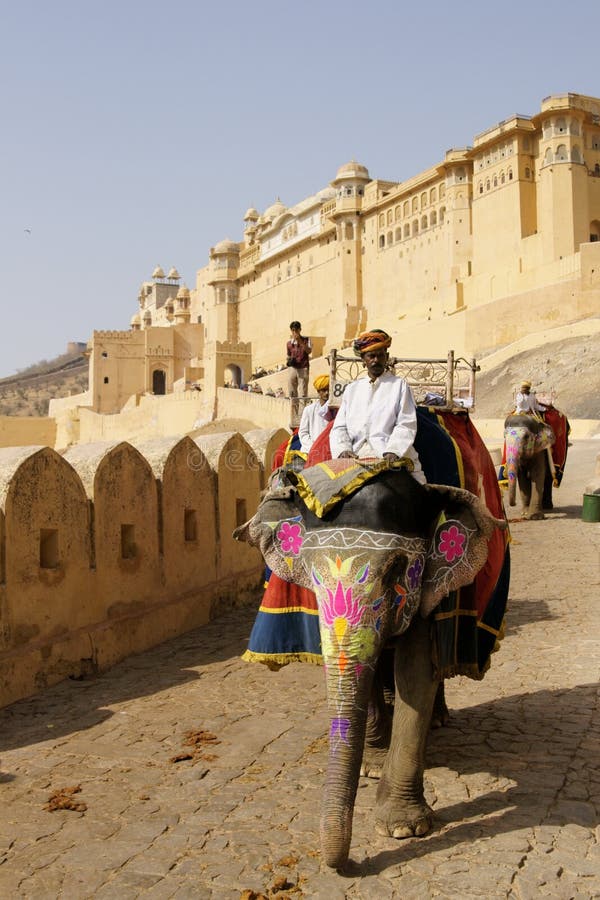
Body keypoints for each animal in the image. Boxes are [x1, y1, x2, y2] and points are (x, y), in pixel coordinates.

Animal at [235, 458, 506, 869]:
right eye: (307, 571)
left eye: (396, 567)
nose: (343, 864)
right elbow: (372, 668)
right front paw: (373, 767)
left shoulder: (425, 583)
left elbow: (416, 671)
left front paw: (404, 828)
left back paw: (438, 719)